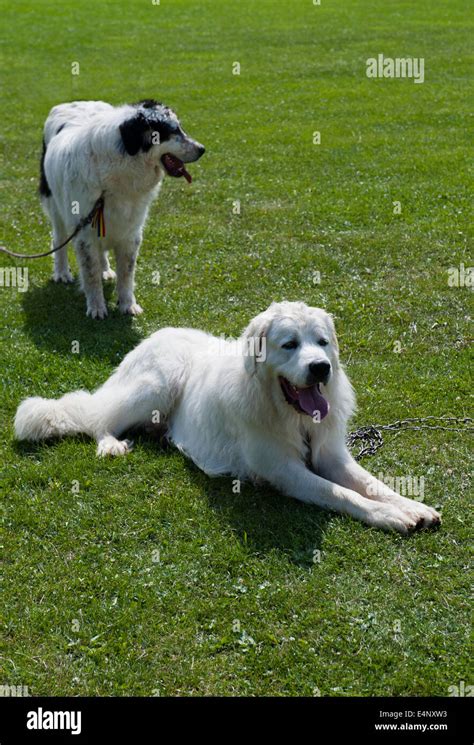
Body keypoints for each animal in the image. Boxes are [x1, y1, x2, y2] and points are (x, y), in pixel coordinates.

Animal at [16, 300, 442, 532]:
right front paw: (389, 516)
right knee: (98, 418)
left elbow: (372, 483)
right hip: (156, 385)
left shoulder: (331, 457)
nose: (321, 368)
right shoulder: (284, 470)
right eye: (290, 345)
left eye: (322, 342)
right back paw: (110, 444)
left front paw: (411, 506)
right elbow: (341, 494)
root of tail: (153, 336)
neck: (287, 413)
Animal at [40, 99, 204, 316]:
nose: (202, 149)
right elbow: (90, 273)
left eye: (180, 128)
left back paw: (105, 270)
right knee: (58, 238)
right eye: (172, 131)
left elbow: (126, 273)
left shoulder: (130, 231)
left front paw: (128, 305)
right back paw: (62, 273)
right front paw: (97, 308)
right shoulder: (84, 231)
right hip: (55, 205)